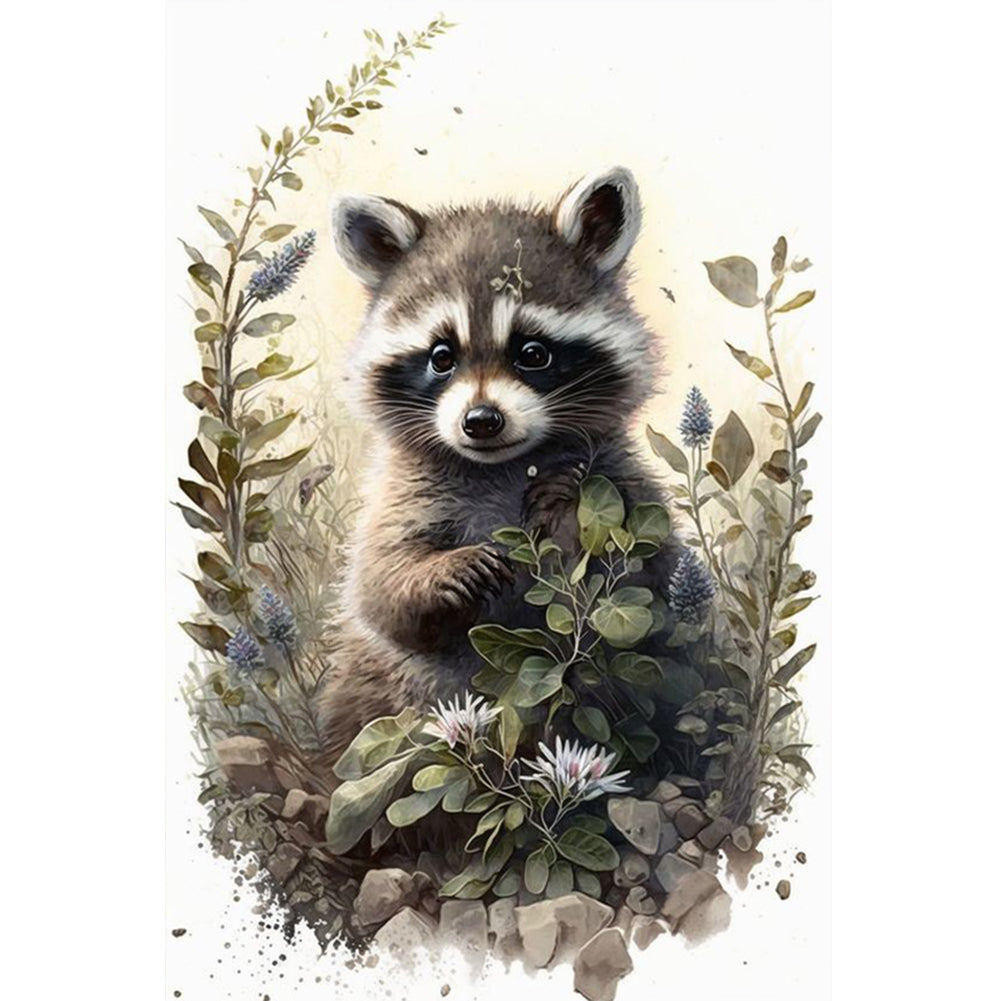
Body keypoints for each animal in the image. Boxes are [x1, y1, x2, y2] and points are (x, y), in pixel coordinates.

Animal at [315, 167, 682, 774]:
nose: (481, 421)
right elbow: (379, 588)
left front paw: (564, 512)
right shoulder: (403, 492)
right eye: (441, 357)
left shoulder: (621, 477)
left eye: (532, 353)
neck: (504, 464)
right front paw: (439, 572)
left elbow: (642, 579)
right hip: (366, 687)